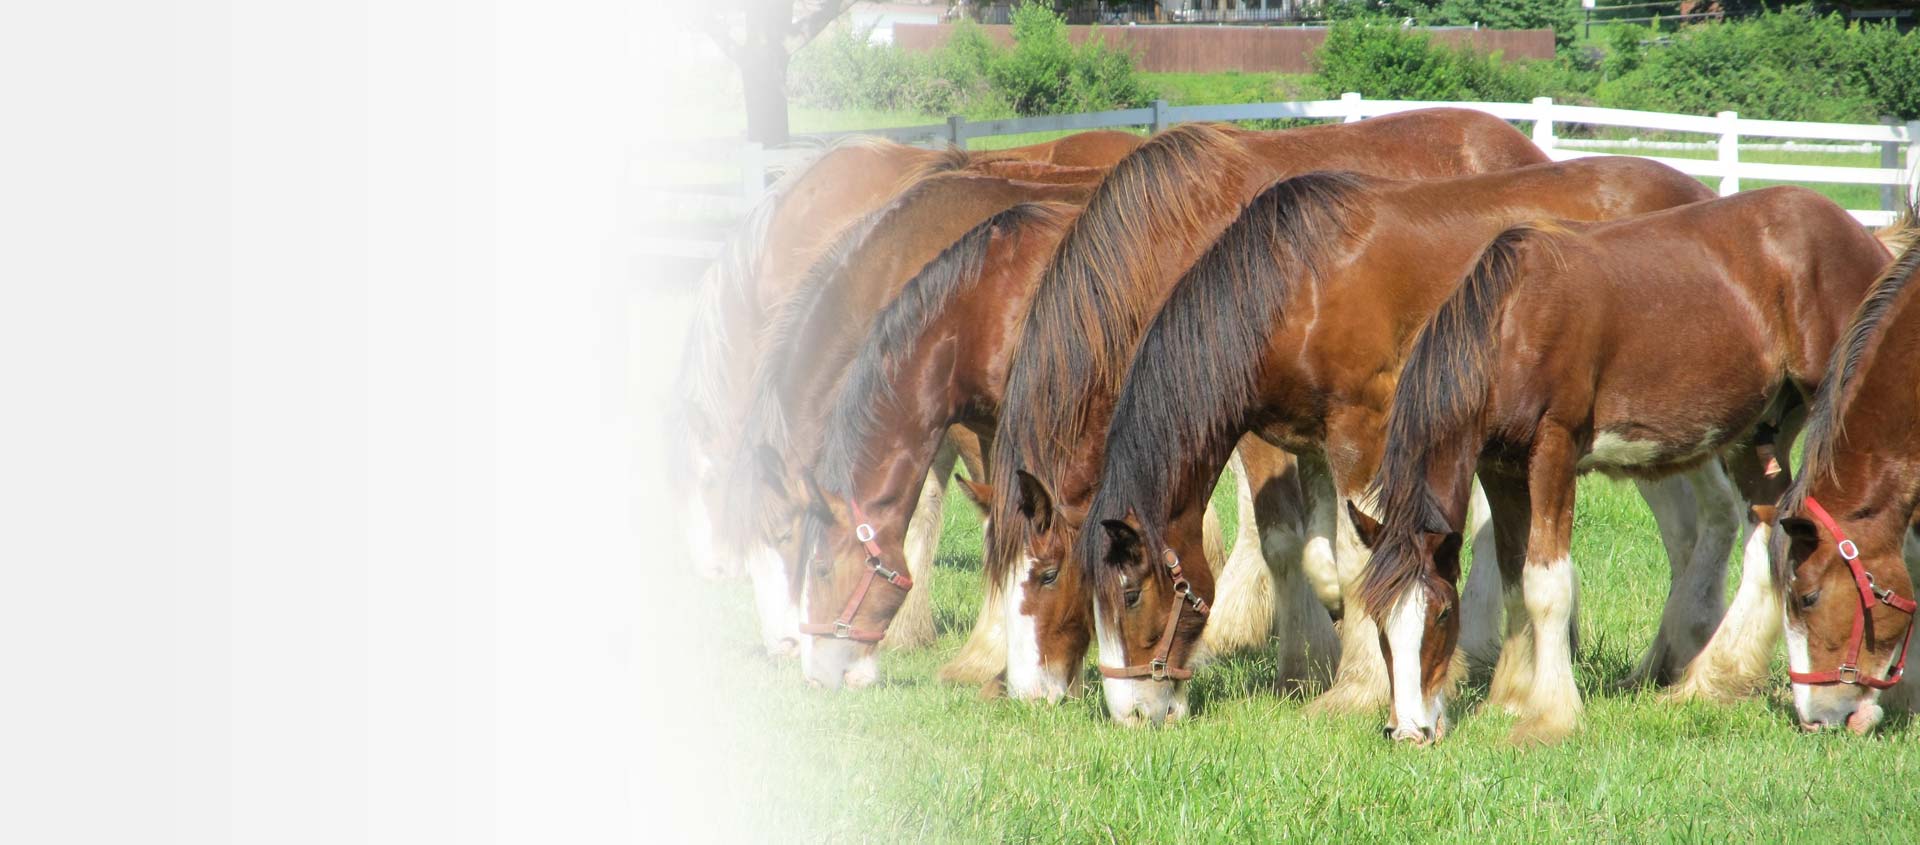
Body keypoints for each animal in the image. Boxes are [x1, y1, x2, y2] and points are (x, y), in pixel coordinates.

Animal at [983, 108, 1551, 722]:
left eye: (1048, 574)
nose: (1028, 692)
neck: (1182, 235)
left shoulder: (1257, 428)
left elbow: (1282, 541)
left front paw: (1306, 664)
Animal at [1075, 158, 1720, 725]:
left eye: (1130, 594)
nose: (1130, 714)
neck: (1299, 284)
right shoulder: (1312, 444)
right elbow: (1322, 558)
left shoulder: (1361, 432)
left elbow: (1360, 561)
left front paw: (1358, 689)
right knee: (1693, 534)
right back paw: (1667, 666)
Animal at [1359, 186, 1896, 745]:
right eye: (1378, 621)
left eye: (1443, 614)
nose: (1409, 730)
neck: (1513, 323)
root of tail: (1864, 236)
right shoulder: (1500, 467)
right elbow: (1513, 581)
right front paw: (1508, 699)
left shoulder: (1554, 449)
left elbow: (1545, 586)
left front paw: (1551, 714)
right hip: (1759, 431)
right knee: (1768, 536)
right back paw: (1714, 680)